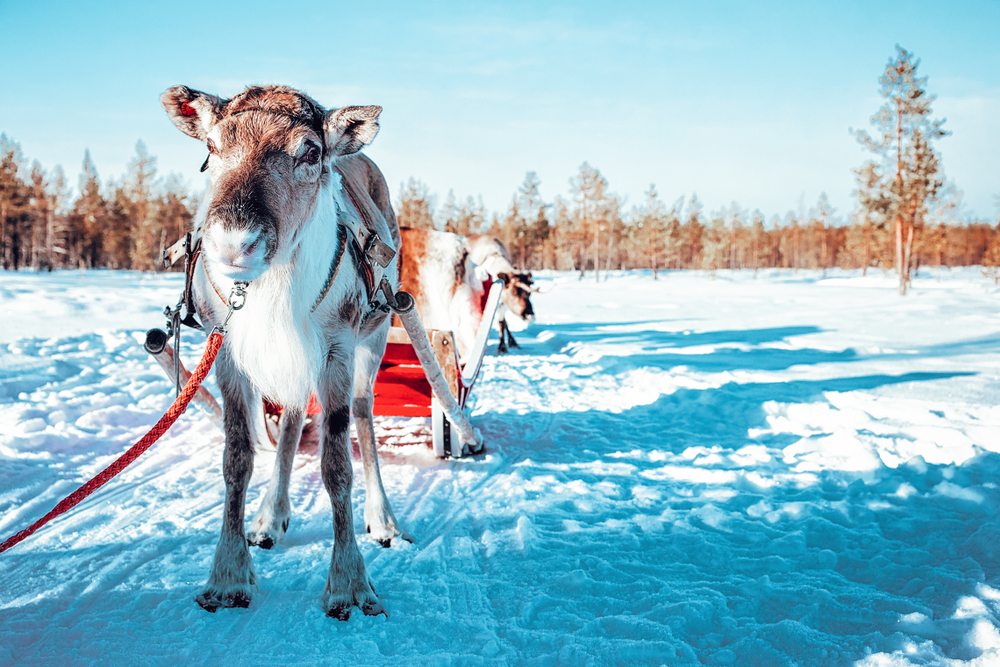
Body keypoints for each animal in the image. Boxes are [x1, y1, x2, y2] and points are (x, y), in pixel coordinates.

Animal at [161, 84, 407, 620]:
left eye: (310, 152)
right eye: (210, 146)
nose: (234, 244)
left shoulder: (336, 348)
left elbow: (337, 466)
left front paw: (349, 583)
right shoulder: (228, 351)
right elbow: (237, 458)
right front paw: (228, 575)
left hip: (373, 337)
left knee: (364, 416)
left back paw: (384, 520)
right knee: (292, 420)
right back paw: (270, 517)